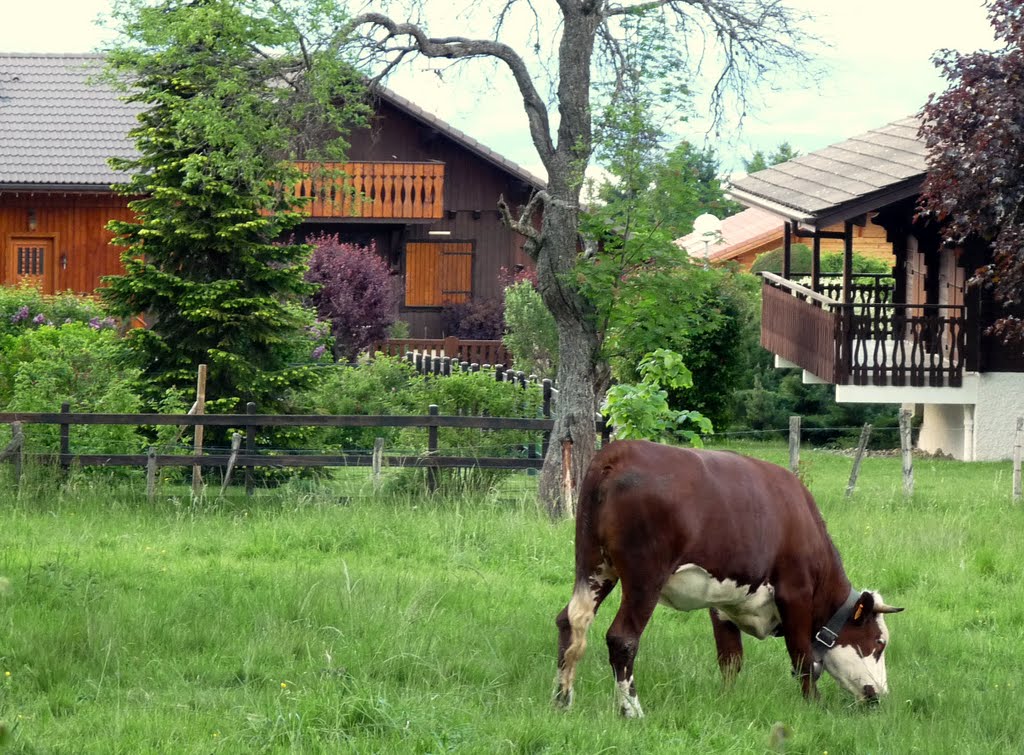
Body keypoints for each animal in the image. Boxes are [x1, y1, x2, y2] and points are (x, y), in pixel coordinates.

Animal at [557, 438, 901, 717]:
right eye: (879, 642)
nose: (880, 695)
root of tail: (618, 452)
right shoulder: (795, 593)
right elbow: (803, 657)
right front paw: (814, 704)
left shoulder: (722, 600)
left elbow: (730, 658)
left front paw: (727, 698)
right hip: (645, 577)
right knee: (623, 638)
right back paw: (631, 711)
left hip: (594, 565)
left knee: (570, 621)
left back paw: (562, 700)